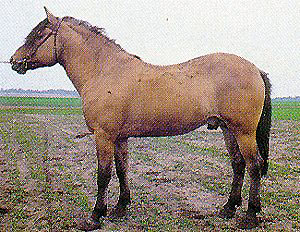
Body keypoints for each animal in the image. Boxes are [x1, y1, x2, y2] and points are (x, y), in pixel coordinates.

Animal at [9, 7, 272, 230]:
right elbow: (121, 169)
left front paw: (95, 216)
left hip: (244, 132)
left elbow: (103, 174)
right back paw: (228, 208)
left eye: (39, 34)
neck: (105, 71)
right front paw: (120, 207)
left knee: (254, 165)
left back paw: (250, 215)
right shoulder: (119, 137)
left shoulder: (103, 136)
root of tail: (255, 69)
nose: (13, 61)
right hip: (228, 129)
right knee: (238, 164)